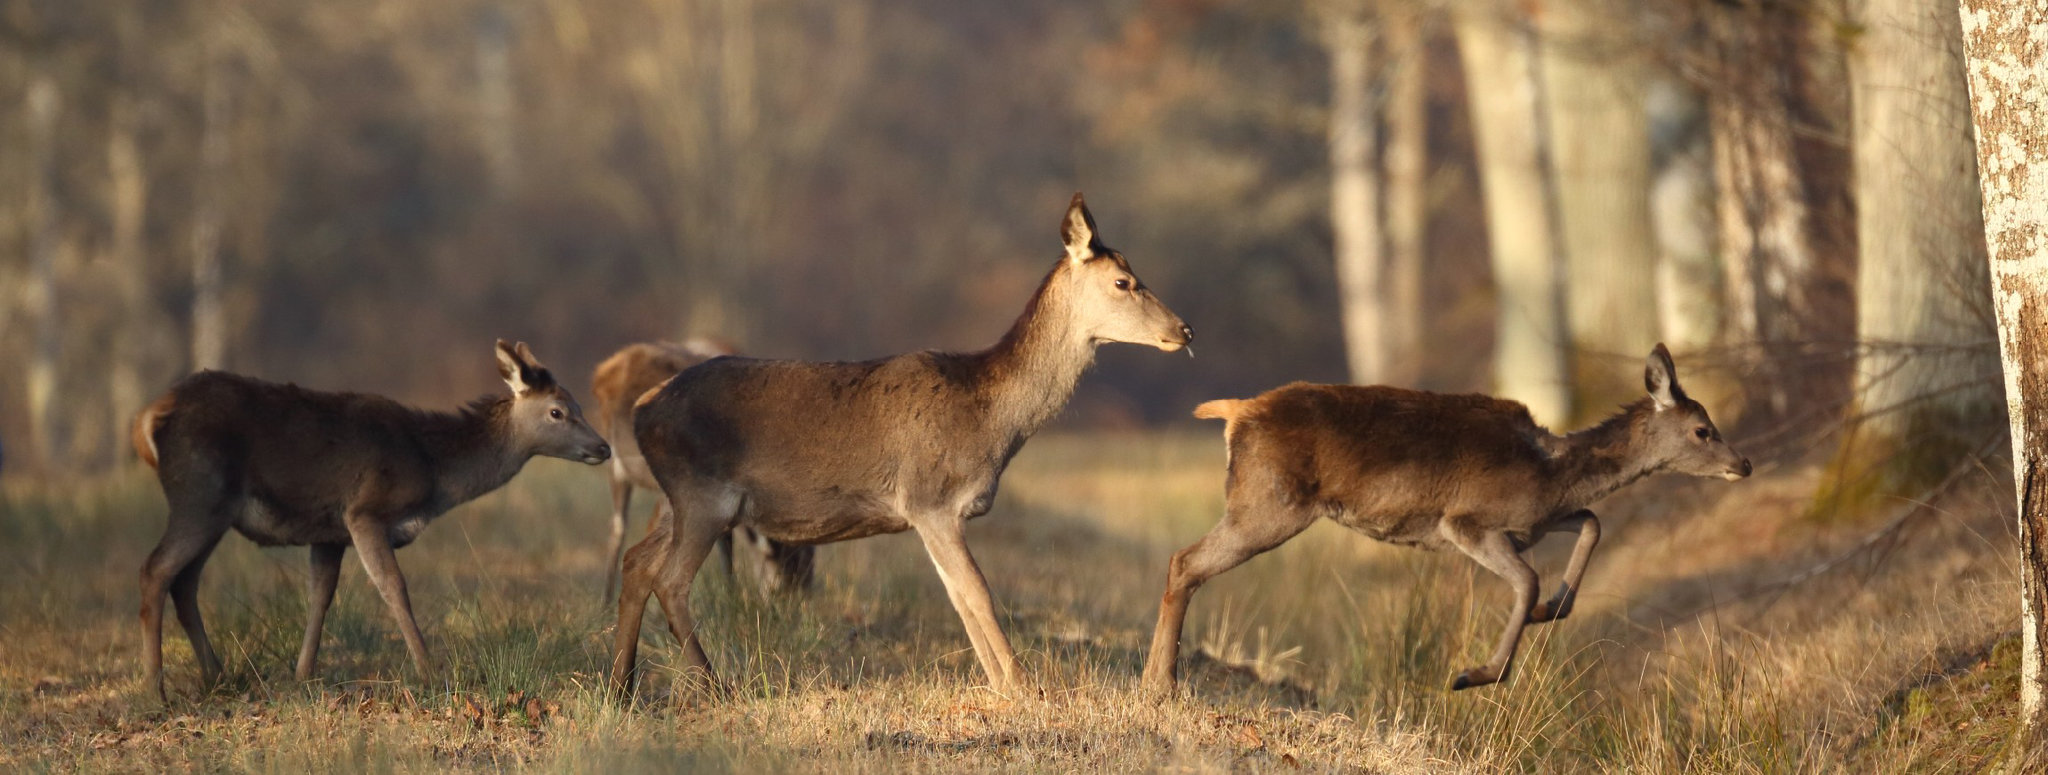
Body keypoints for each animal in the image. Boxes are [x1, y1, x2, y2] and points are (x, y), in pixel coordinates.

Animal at [133, 342, 610, 701]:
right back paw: (156, 690)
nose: (603, 447)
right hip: (199, 494)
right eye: (557, 411)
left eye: (580, 405)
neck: (433, 471)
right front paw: (429, 673)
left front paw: (303, 674)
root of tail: (148, 419)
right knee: (156, 569)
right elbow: (392, 586)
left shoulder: (328, 532)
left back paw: (217, 675)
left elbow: (320, 595)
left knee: (184, 581)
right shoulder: (364, 510)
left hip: (215, 512)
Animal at [589, 336, 811, 602]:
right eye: (789, 552)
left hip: (620, 469)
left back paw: (607, 601)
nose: (798, 596)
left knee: (618, 527)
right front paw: (731, 594)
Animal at [1146, 346, 1753, 697]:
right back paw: (1163, 682)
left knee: (1181, 561)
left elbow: (1591, 521)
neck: (1550, 471)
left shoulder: (1532, 522)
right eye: (1702, 429)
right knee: (1186, 560)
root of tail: (1236, 412)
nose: (1743, 464)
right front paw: (1477, 673)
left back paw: (1157, 677)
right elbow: (1529, 576)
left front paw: (1550, 609)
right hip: (1269, 503)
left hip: (1262, 503)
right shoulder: (1467, 522)